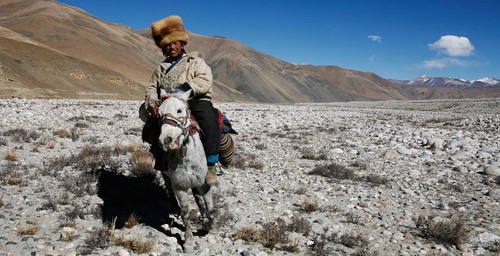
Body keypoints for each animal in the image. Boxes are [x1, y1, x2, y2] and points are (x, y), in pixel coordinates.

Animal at [157, 89, 216, 252]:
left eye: (179, 110)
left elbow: (210, 209)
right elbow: (186, 214)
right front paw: (189, 242)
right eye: (159, 113)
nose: (166, 140)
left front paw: (208, 226)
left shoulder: (203, 183)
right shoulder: (180, 186)